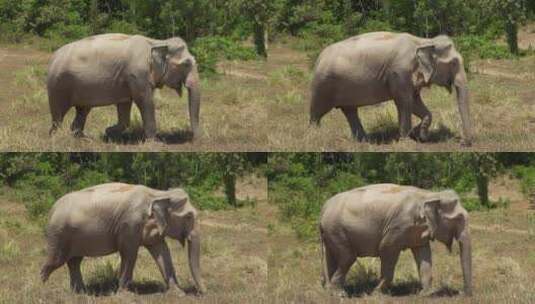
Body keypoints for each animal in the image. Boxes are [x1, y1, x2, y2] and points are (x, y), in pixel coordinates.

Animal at [39, 182, 206, 296]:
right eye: (189, 216)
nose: (202, 292)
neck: (158, 193)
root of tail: (52, 209)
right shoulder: (130, 224)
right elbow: (129, 254)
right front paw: (126, 294)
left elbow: (162, 252)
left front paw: (178, 293)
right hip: (58, 234)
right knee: (55, 261)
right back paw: (42, 289)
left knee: (74, 262)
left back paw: (80, 293)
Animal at [45, 33, 201, 140]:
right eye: (186, 64)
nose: (196, 139)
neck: (157, 42)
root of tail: (53, 57)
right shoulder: (137, 75)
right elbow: (145, 101)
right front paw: (154, 142)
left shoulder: (127, 80)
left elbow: (125, 106)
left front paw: (108, 132)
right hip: (59, 85)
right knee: (58, 114)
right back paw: (56, 137)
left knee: (82, 110)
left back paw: (82, 138)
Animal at [310, 32, 474, 146]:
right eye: (454, 63)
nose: (462, 142)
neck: (423, 41)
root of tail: (318, 58)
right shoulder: (399, 73)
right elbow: (404, 102)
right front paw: (408, 141)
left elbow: (415, 102)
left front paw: (420, 135)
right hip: (323, 85)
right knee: (317, 112)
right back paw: (315, 136)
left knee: (350, 110)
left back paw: (363, 141)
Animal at [320, 183, 472, 296]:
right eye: (458, 218)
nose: (462, 293)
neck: (430, 195)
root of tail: (324, 208)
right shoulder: (398, 226)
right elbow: (386, 249)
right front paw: (376, 293)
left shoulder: (418, 231)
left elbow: (423, 254)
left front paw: (425, 294)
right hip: (336, 230)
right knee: (348, 257)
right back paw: (340, 294)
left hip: (330, 232)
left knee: (330, 258)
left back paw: (328, 290)